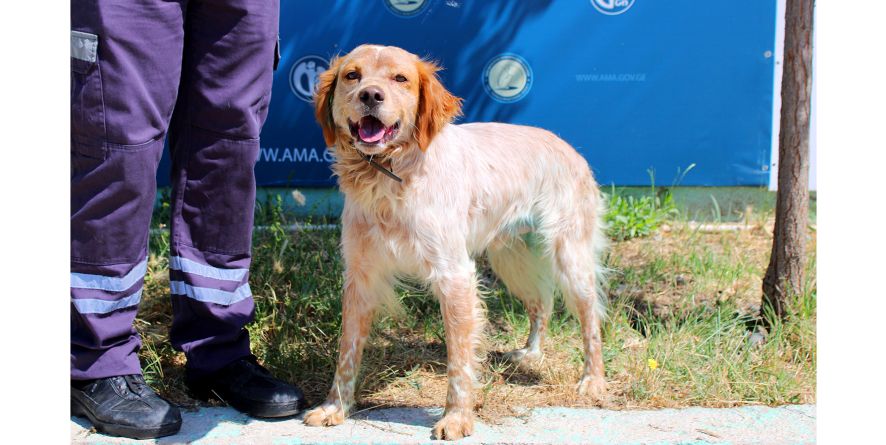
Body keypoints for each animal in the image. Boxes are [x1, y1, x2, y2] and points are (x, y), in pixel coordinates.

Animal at [306, 43, 612, 438]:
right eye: (352, 75)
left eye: (400, 78)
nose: (370, 95)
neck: (390, 176)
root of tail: (569, 147)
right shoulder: (360, 276)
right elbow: (347, 351)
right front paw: (335, 407)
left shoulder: (454, 275)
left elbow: (460, 359)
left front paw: (457, 417)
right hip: (512, 258)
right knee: (541, 304)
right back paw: (530, 354)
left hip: (569, 257)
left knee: (591, 318)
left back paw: (593, 380)